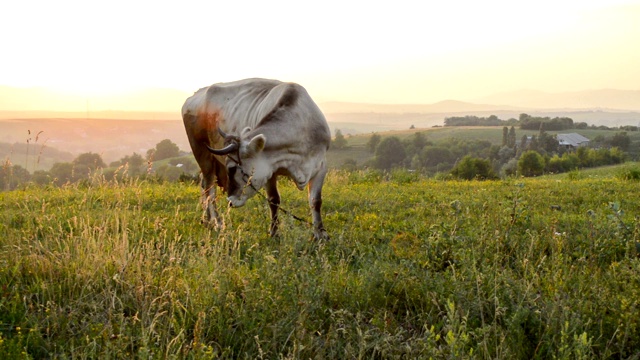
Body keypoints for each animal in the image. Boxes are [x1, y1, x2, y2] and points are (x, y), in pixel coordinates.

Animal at [180, 80, 330, 240]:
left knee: (204, 184)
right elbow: (274, 200)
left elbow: (315, 201)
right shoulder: (270, 170)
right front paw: (274, 232)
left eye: (232, 168)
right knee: (209, 189)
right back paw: (217, 223)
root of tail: (196, 95)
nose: (230, 201)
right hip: (202, 154)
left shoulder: (321, 166)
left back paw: (207, 220)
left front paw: (320, 233)